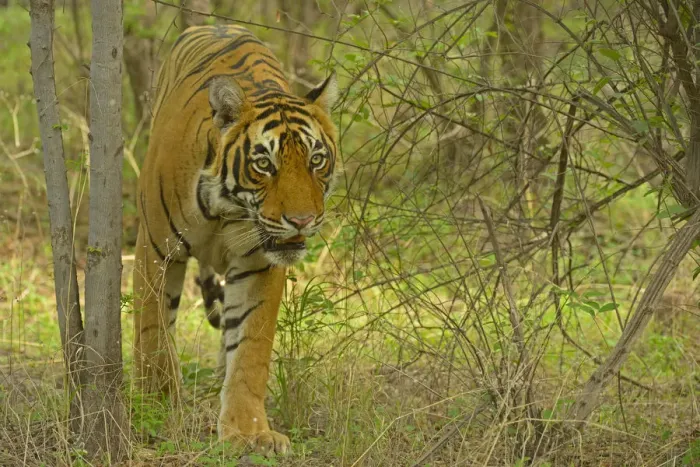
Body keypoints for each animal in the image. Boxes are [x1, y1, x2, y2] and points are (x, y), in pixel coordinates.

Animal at [133, 24, 338, 456]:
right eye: (264, 164)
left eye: (316, 160)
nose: (302, 221)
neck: (227, 208)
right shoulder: (155, 248)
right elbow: (152, 334)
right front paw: (154, 410)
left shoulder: (260, 264)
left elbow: (250, 349)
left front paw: (249, 431)